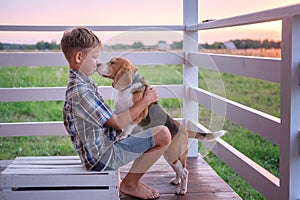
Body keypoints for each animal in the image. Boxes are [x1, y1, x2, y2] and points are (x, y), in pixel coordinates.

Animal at [96, 57, 225, 195]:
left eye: (112, 62)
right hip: (170, 156)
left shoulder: (138, 114)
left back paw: (182, 189)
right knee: (179, 172)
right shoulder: (118, 114)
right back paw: (176, 181)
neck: (127, 88)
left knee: (185, 172)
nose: (97, 64)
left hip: (174, 155)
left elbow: (129, 126)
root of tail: (183, 128)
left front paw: (122, 136)